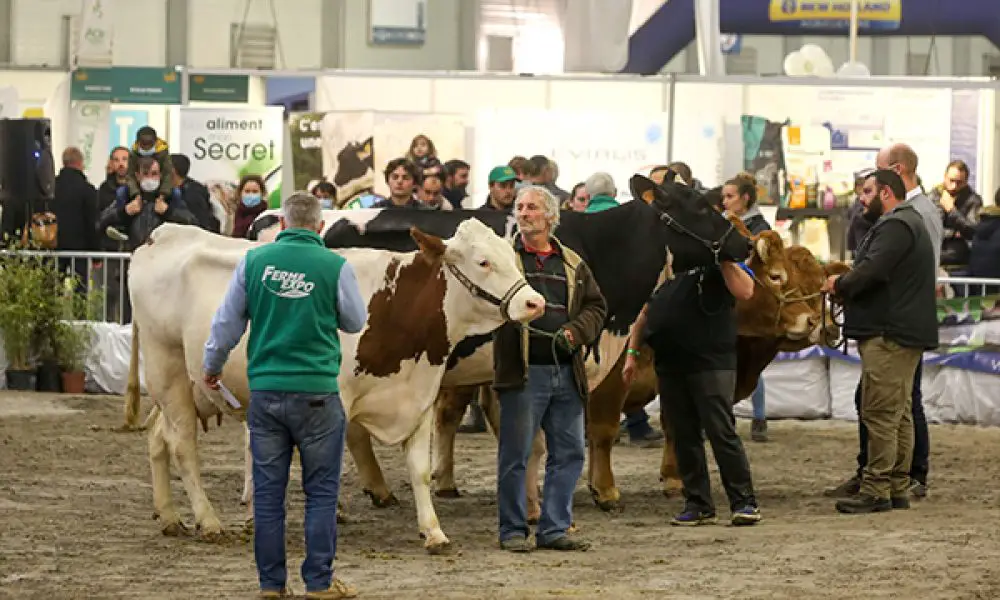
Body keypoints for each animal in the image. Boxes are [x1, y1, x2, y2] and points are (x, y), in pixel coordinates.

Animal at [124, 220, 548, 552]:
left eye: (511, 256)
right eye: (483, 261)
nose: (534, 302)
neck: (396, 305)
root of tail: (164, 233)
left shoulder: (420, 394)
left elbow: (420, 469)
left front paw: (433, 531)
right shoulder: (336, 400)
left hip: (188, 386)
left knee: (158, 436)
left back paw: (170, 516)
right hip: (167, 370)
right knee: (183, 446)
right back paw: (209, 522)